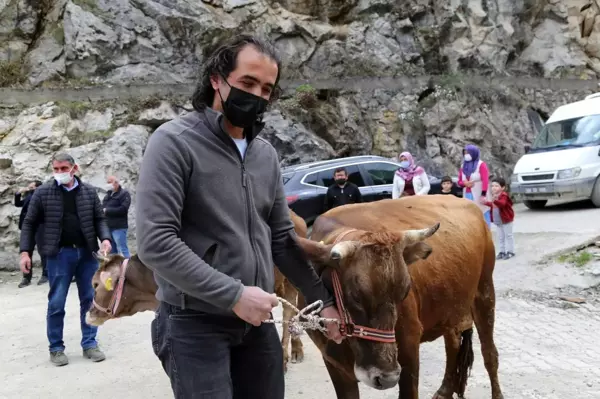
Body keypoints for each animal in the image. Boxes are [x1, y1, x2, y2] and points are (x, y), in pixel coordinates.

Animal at [296, 196, 502, 399]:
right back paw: (444, 391)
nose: (386, 378)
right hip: (451, 309)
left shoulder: (409, 348)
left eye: (404, 292)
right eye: (355, 296)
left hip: (485, 292)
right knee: (453, 346)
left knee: (489, 353)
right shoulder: (333, 363)